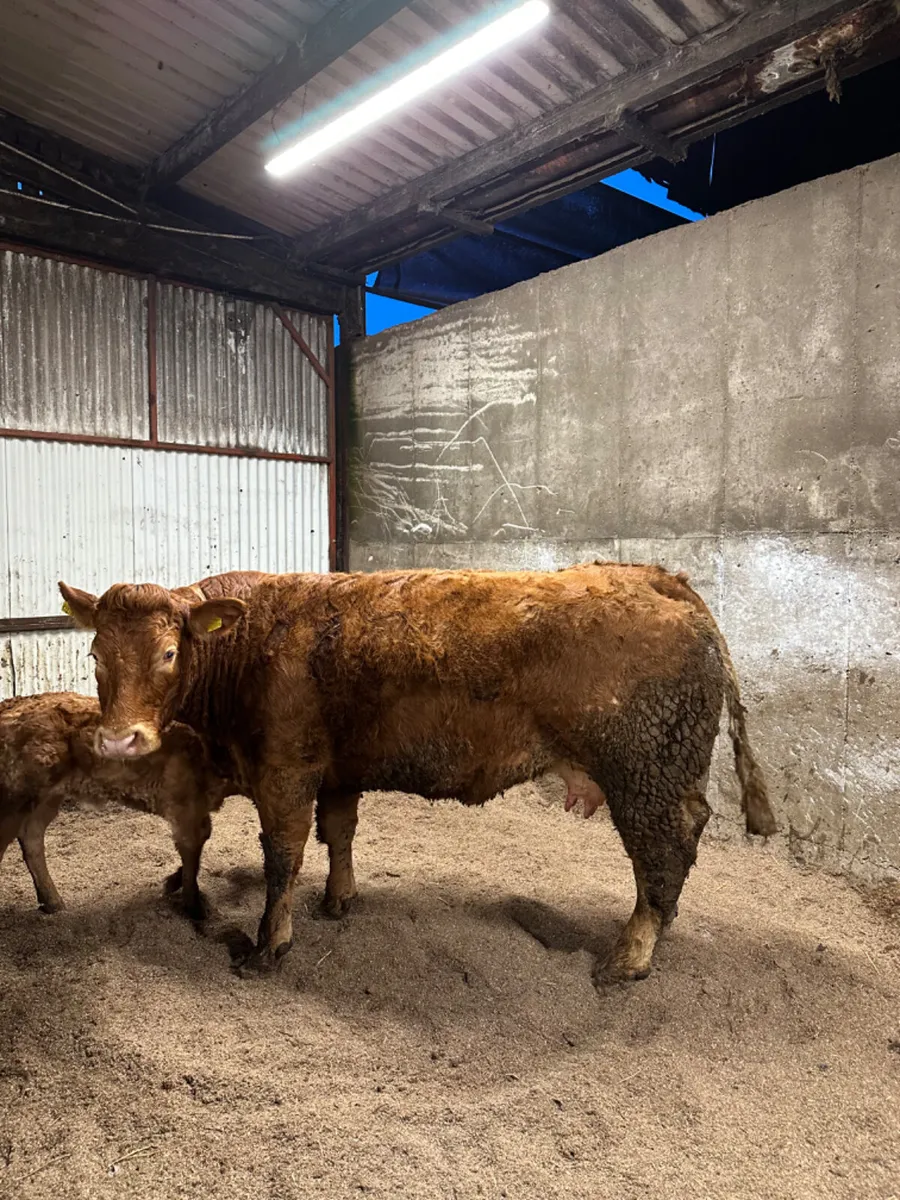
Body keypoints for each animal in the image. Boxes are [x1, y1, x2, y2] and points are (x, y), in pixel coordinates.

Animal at [0, 692, 235, 919]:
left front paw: (174, 884)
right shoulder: (186, 805)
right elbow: (191, 851)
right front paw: (195, 907)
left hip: (46, 798)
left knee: (32, 837)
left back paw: (53, 903)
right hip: (16, 799)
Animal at [58, 562, 776, 984]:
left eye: (169, 652)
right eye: (94, 654)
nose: (120, 740)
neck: (249, 643)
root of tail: (655, 574)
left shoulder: (284, 770)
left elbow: (283, 856)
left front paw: (268, 946)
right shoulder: (337, 768)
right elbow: (339, 833)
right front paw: (339, 899)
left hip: (645, 773)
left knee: (665, 849)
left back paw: (629, 955)